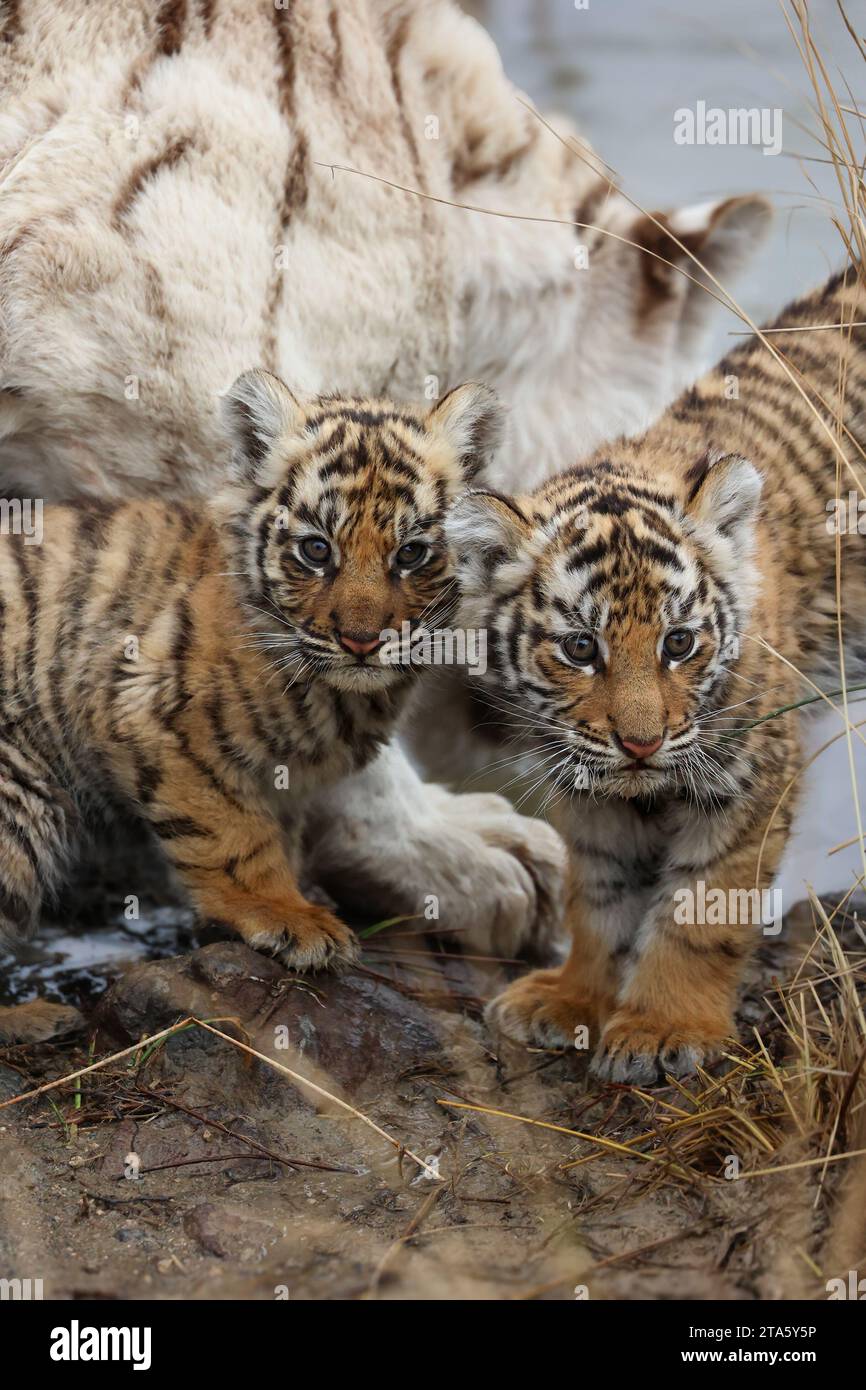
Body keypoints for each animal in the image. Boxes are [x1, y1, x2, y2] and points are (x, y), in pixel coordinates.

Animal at [0, 370, 502, 967]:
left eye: (410, 554)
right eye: (316, 550)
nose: (361, 642)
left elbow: (277, 834)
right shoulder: (152, 716)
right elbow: (232, 834)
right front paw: (289, 917)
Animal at [446, 265, 866, 1083]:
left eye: (678, 644)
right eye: (581, 648)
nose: (641, 745)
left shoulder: (749, 775)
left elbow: (700, 911)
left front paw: (663, 1029)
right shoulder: (588, 781)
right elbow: (601, 894)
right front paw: (573, 1000)